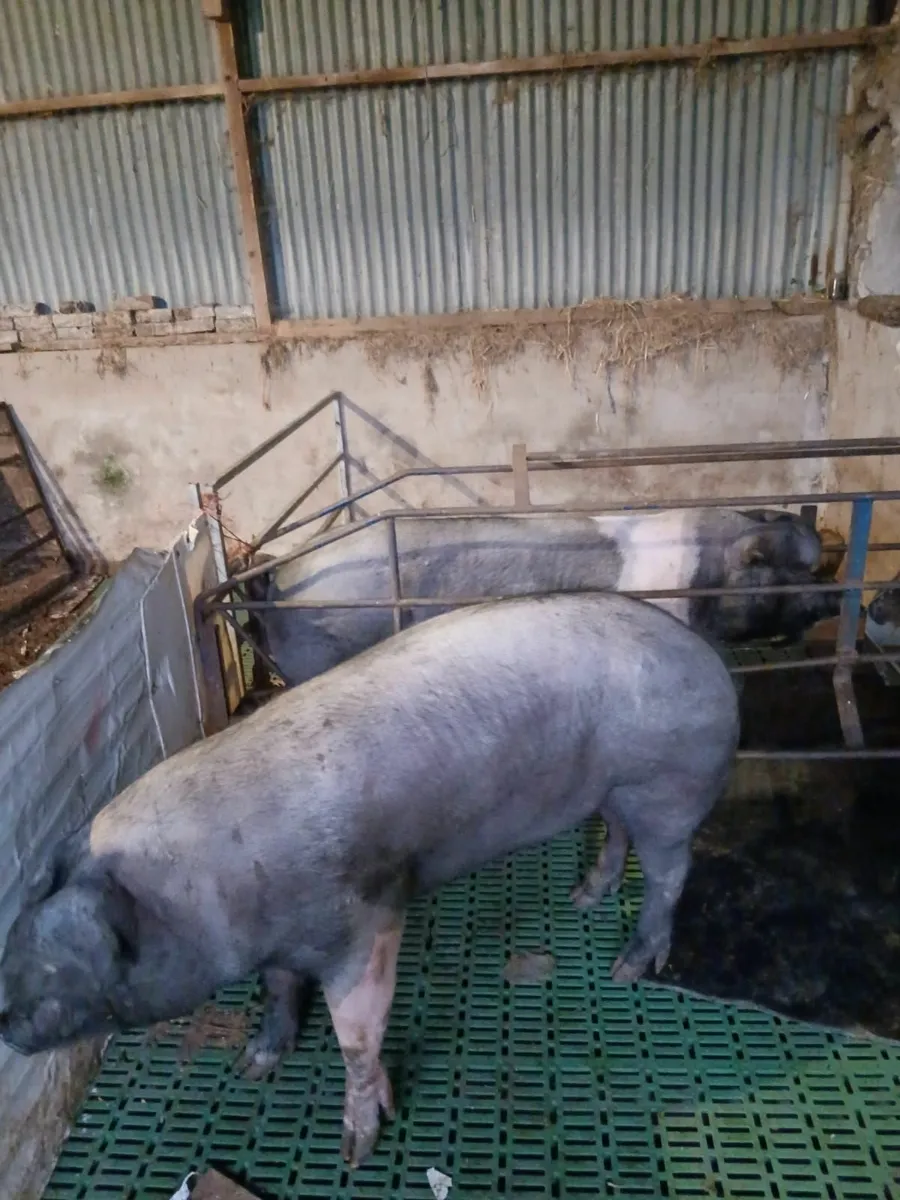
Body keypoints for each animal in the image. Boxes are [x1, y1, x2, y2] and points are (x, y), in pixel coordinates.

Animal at [0, 592, 739, 1165]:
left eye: (56, 963)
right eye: (16, 937)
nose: (4, 1021)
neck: (204, 889)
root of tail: (713, 663)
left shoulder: (367, 918)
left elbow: (357, 1034)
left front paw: (356, 1148)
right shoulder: (280, 942)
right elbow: (278, 989)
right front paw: (255, 1064)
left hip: (670, 785)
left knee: (671, 874)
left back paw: (628, 967)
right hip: (616, 789)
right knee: (617, 833)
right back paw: (584, 897)